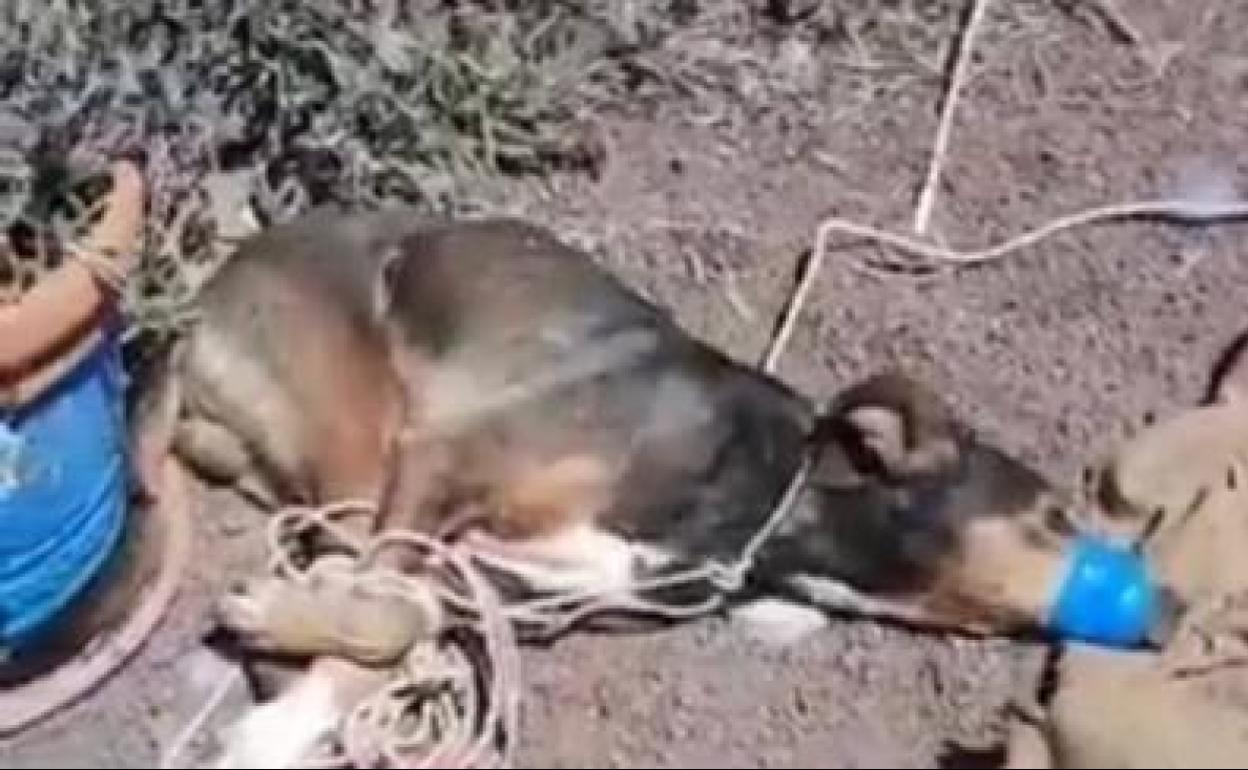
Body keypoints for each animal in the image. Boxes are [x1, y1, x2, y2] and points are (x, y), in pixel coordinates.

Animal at [124, 208, 1181, 767]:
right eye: (1053, 516)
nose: (1171, 607)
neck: (759, 502)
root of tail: (196, 306)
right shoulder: (446, 456)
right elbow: (393, 612)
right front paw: (280, 721)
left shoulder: (514, 578)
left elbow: (407, 614)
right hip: (361, 424)